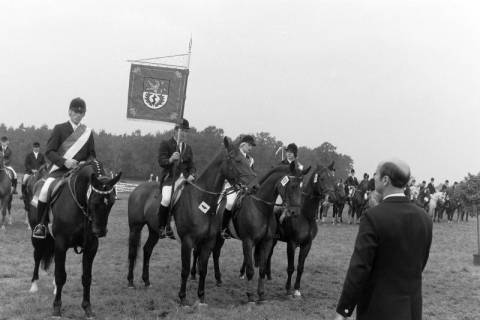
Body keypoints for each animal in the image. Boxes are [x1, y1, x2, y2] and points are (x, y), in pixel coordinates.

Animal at [27, 160, 121, 318]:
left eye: (112, 202)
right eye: (94, 201)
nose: (100, 231)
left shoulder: (91, 247)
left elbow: (86, 277)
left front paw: (87, 308)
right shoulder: (61, 244)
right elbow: (61, 275)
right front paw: (57, 309)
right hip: (38, 239)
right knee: (37, 257)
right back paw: (34, 285)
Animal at [126, 136, 255, 306]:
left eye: (248, 161)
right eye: (237, 160)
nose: (255, 186)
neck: (201, 201)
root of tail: (137, 189)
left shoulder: (208, 241)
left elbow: (203, 269)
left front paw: (201, 297)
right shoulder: (187, 241)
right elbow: (185, 270)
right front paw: (182, 297)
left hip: (154, 231)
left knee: (147, 250)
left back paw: (146, 281)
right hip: (135, 228)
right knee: (132, 253)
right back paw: (130, 282)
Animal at [262, 162, 334, 298]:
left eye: (332, 178)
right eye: (321, 178)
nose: (331, 197)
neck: (305, 216)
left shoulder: (307, 244)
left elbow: (300, 267)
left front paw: (297, 289)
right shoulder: (292, 244)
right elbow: (291, 267)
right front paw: (288, 289)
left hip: (274, 239)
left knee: (269, 254)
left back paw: (267, 275)